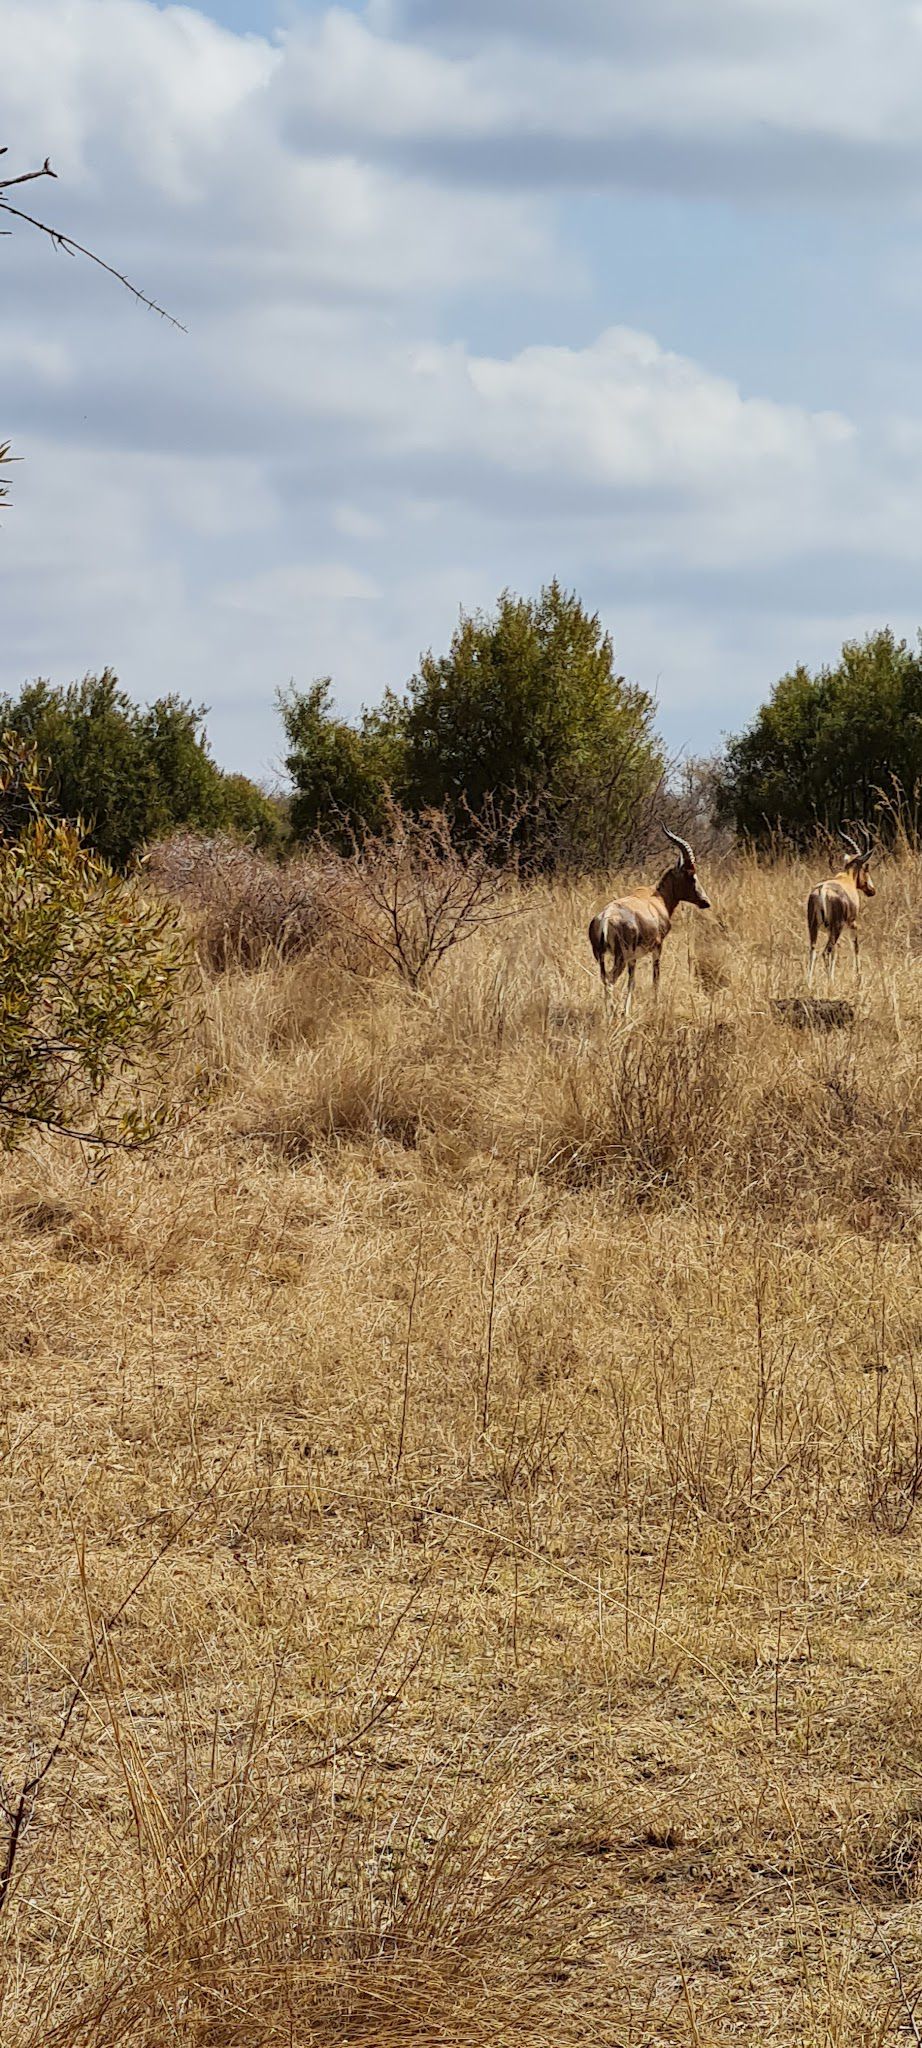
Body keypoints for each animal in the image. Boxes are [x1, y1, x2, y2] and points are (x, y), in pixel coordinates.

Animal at [590, 815, 713, 1007]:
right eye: (691, 874)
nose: (705, 902)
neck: (655, 897)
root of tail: (605, 917)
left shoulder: (633, 957)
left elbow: (632, 982)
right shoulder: (657, 946)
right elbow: (655, 977)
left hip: (601, 956)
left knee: (604, 979)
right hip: (620, 957)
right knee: (610, 981)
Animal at [803, 819, 876, 987]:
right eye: (866, 868)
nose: (872, 890)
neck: (845, 878)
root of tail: (822, 890)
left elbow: (836, 952)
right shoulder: (852, 924)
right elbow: (855, 946)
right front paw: (858, 978)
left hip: (814, 927)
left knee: (813, 951)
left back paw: (809, 984)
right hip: (837, 927)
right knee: (826, 951)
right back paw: (830, 983)